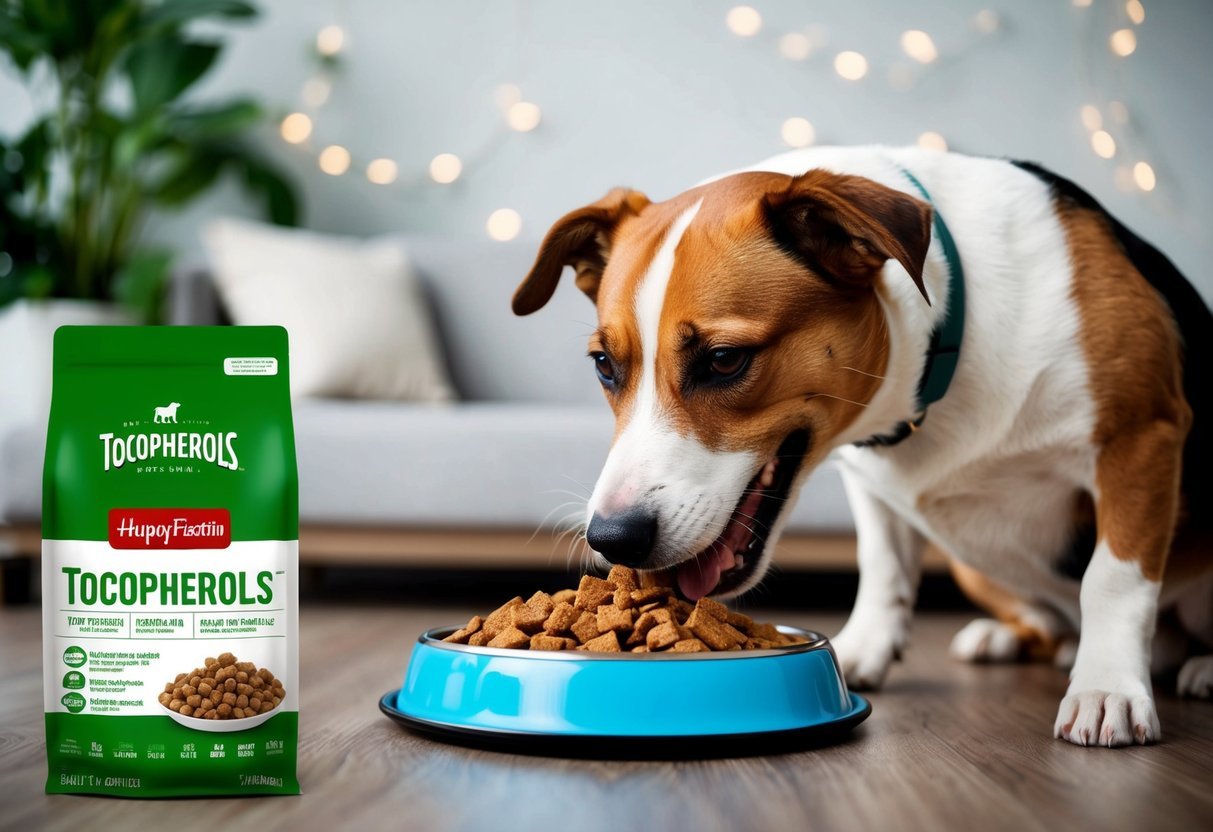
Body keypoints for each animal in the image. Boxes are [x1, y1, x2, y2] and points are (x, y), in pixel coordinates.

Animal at [514, 144, 1213, 751]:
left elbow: (1113, 580)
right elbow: (883, 568)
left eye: (724, 360)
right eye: (605, 365)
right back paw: (1011, 637)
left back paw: (1192, 666)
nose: (613, 539)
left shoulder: (1142, 434)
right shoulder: (871, 480)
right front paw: (862, 650)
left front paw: (1106, 687)